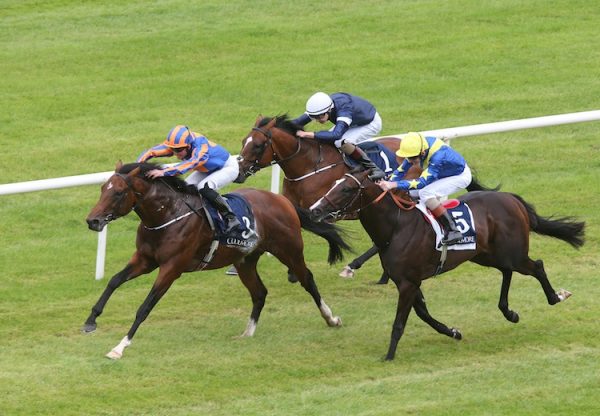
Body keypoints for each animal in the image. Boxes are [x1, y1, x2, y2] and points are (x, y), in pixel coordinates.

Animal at [82, 162, 350, 358]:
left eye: (118, 192)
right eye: (102, 189)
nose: (92, 221)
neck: (167, 215)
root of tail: (283, 201)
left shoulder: (171, 268)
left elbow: (145, 307)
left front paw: (120, 347)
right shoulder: (145, 260)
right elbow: (114, 281)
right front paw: (90, 321)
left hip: (289, 250)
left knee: (307, 280)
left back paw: (331, 318)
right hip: (245, 260)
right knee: (259, 292)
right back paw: (247, 333)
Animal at [234, 115, 404, 282]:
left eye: (258, 145)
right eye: (243, 141)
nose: (238, 173)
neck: (309, 167)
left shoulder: (321, 211)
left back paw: (354, 267)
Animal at [310, 171, 584, 360]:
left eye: (346, 189)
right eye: (333, 184)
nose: (315, 210)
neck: (396, 227)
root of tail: (510, 198)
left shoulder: (408, 283)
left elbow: (400, 322)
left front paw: (388, 356)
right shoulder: (408, 280)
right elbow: (423, 313)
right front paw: (453, 331)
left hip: (513, 253)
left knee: (536, 266)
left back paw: (556, 297)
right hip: (486, 254)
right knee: (507, 271)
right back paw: (509, 312)